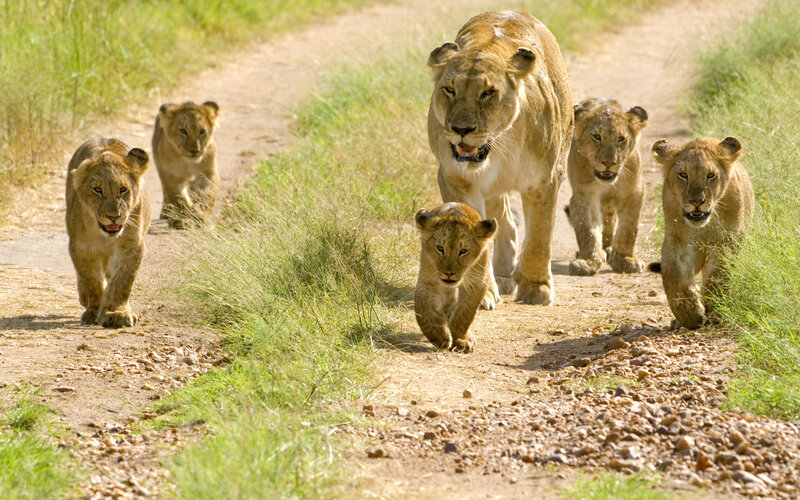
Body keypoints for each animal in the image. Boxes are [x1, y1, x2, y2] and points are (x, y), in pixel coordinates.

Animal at [66, 138, 152, 328]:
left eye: (123, 189)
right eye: (97, 190)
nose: (114, 217)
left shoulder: (131, 245)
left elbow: (122, 280)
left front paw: (116, 312)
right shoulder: (80, 246)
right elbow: (91, 280)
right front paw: (94, 310)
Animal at [414, 203, 497, 353]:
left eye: (463, 251)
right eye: (440, 248)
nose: (449, 273)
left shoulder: (476, 283)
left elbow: (464, 313)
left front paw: (462, 339)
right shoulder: (427, 281)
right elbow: (423, 311)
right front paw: (440, 337)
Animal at [427, 11, 572, 309]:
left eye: (488, 93)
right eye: (449, 90)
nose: (461, 129)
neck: (499, 145)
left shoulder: (545, 180)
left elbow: (541, 236)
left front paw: (536, 288)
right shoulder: (455, 179)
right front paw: (480, 294)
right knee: (504, 221)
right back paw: (504, 274)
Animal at [565, 98, 649, 276]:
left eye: (621, 139)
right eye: (597, 137)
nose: (608, 163)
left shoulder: (633, 191)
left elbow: (628, 228)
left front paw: (625, 260)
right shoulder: (584, 194)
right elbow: (587, 229)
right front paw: (588, 261)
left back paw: (609, 250)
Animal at [651, 136, 754, 329]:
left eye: (711, 175)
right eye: (683, 175)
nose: (697, 202)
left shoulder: (728, 239)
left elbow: (718, 274)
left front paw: (714, 308)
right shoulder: (678, 239)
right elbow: (673, 274)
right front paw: (690, 314)